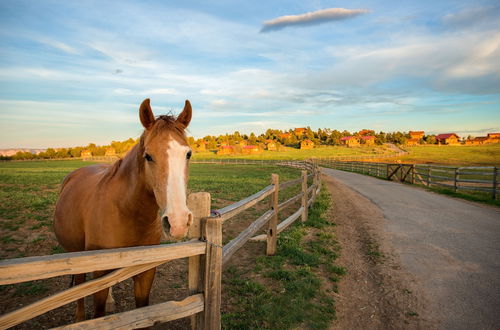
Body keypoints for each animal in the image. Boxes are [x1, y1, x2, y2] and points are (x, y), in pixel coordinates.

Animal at [53, 98, 193, 322]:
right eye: (148, 156)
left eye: (188, 154)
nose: (178, 221)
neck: (125, 212)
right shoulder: (99, 272)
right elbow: (98, 312)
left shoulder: (145, 273)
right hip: (77, 256)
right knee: (80, 290)